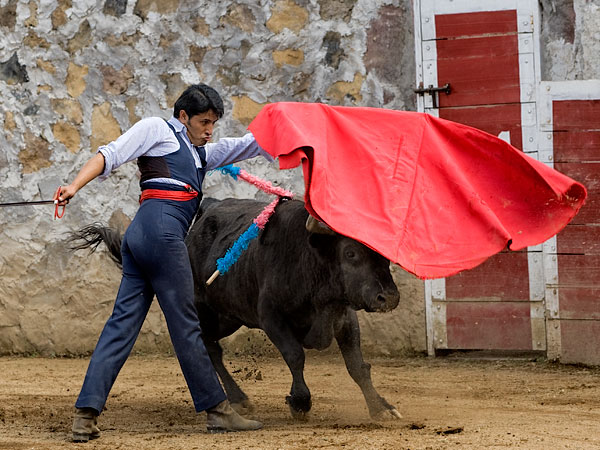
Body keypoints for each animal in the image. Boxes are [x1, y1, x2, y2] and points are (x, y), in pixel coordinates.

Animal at [72, 199, 404, 420]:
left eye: (384, 254)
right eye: (350, 253)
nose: (388, 297)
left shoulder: (344, 317)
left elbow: (358, 366)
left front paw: (382, 407)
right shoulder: (271, 317)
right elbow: (295, 356)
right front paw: (300, 403)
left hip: (228, 316)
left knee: (211, 346)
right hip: (203, 309)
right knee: (208, 347)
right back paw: (237, 398)